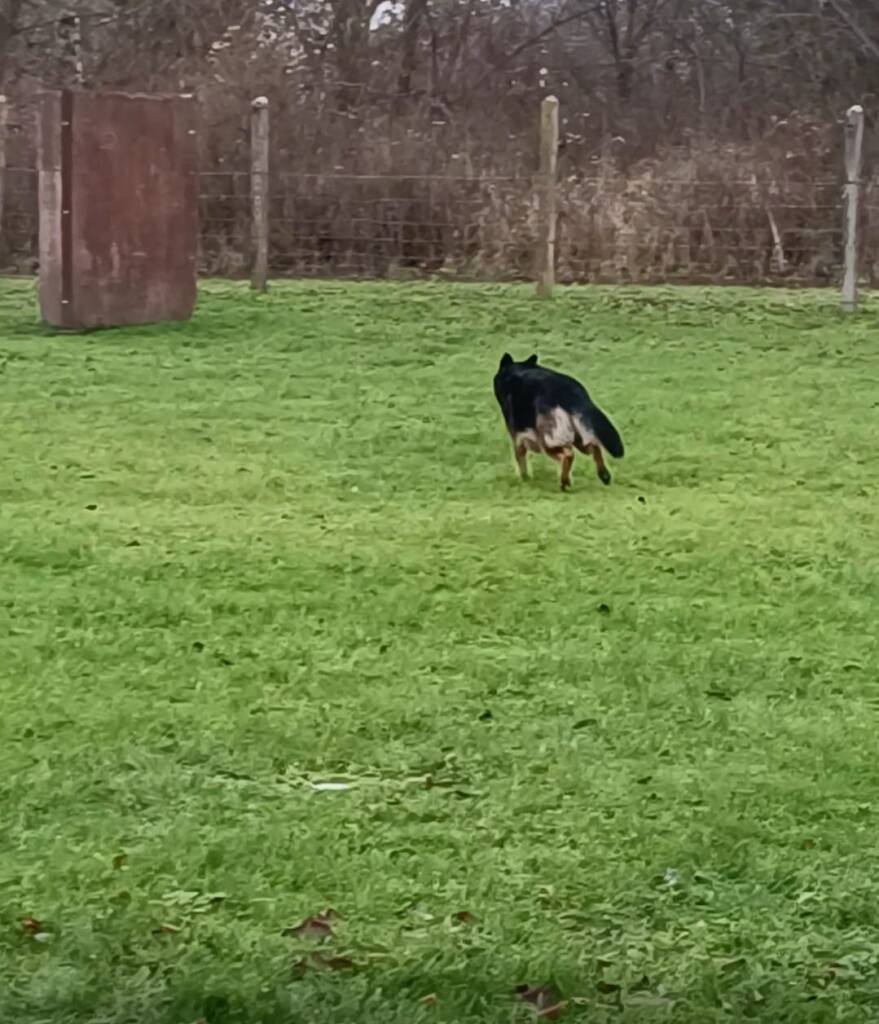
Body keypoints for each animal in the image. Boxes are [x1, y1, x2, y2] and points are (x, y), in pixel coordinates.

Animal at [493, 353, 624, 491]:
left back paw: (564, 482)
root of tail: (569, 393)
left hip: (547, 442)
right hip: (578, 437)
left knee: (569, 454)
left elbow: (521, 461)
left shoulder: (518, 439)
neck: (517, 371)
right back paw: (603, 475)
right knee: (594, 446)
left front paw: (525, 480)